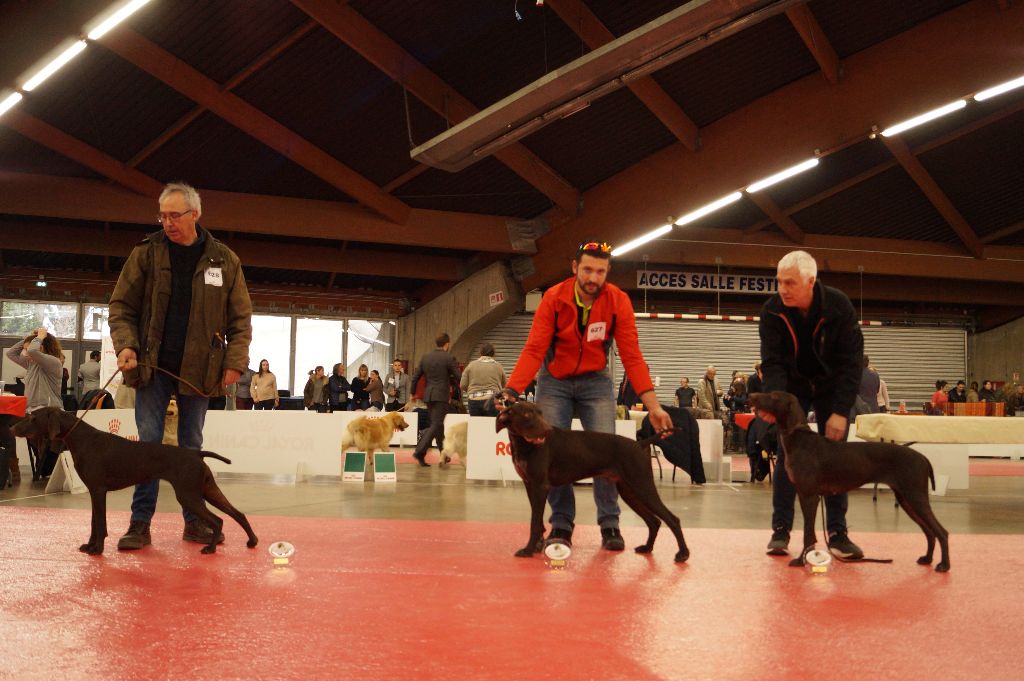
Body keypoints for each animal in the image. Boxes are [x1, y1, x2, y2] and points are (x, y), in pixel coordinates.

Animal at [12, 407, 258, 556]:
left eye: (33, 417)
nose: (11, 427)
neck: (82, 439)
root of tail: (196, 454)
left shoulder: (98, 491)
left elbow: (100, 524)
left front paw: (97, 549)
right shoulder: (94, 492)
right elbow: (93, 523)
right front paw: (90, 545)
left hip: (188, 495)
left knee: (217, 520)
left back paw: (211, 548)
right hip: (207, 490)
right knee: (237, 514)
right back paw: (252, 541)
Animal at [495, 401, 689, 562]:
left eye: (540, 413)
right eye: (527, 414)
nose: (548, 430)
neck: (524, 445)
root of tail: (639, 444)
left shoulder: (540, 486)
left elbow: (534, 523)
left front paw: (528, 550)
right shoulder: (530, 485)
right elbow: (537, 520)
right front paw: (535, 546)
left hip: (642, 486)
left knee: (672, 519)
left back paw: (683, 553)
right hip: (629, 491)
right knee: (654, 521)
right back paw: (647, 548)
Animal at [749, 391, 950, 572]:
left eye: (774, 396)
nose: (751, 396)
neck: (799, 439)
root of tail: (923, 458)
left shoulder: (809, 496)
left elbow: (808, 534)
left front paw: (801, 560)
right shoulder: (805, 494)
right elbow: (810, 533)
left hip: (915, 496)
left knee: (941, 531)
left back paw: (944, 565)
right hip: (906, 499)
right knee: (929, 532)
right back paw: (927, 558)